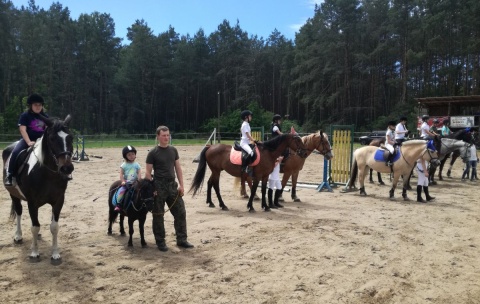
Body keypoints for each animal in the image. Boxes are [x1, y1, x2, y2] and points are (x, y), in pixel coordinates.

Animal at [1, 115, 74, 260]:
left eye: (71, 137)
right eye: (52, 138)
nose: (67, 168)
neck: (47, 174)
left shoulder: (58, 201)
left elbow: (54, 226)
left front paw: (55, 253)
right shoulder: (32, 203)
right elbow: (35, 227)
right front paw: (34, 252)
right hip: (14, 195)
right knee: (19, 212)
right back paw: (18, 236)